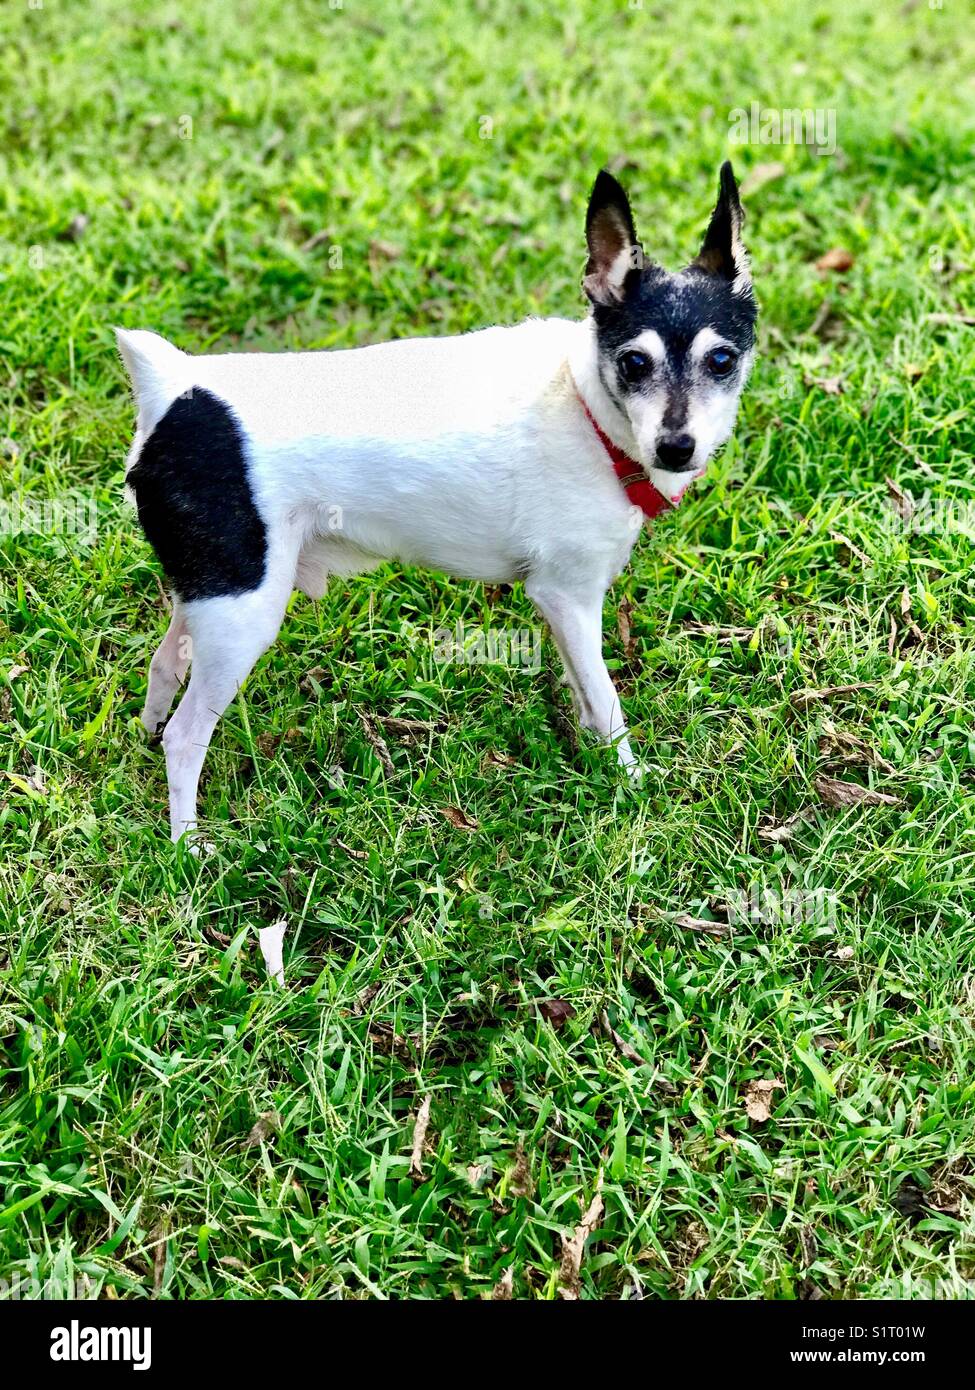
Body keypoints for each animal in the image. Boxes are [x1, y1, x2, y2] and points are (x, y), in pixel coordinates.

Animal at [114, 157, 751, 839]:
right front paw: (632, 785)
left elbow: (586, 694)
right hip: (244, 613)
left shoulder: (562, 607)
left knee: (164, 666)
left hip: (213, 592)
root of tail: (176, 389)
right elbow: (607, 704)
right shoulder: (568, 596)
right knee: (185, 738)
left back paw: (148, 736)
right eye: (634, 364)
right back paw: (189, 844)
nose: (676, 447)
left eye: (721, 360)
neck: (588, 408)